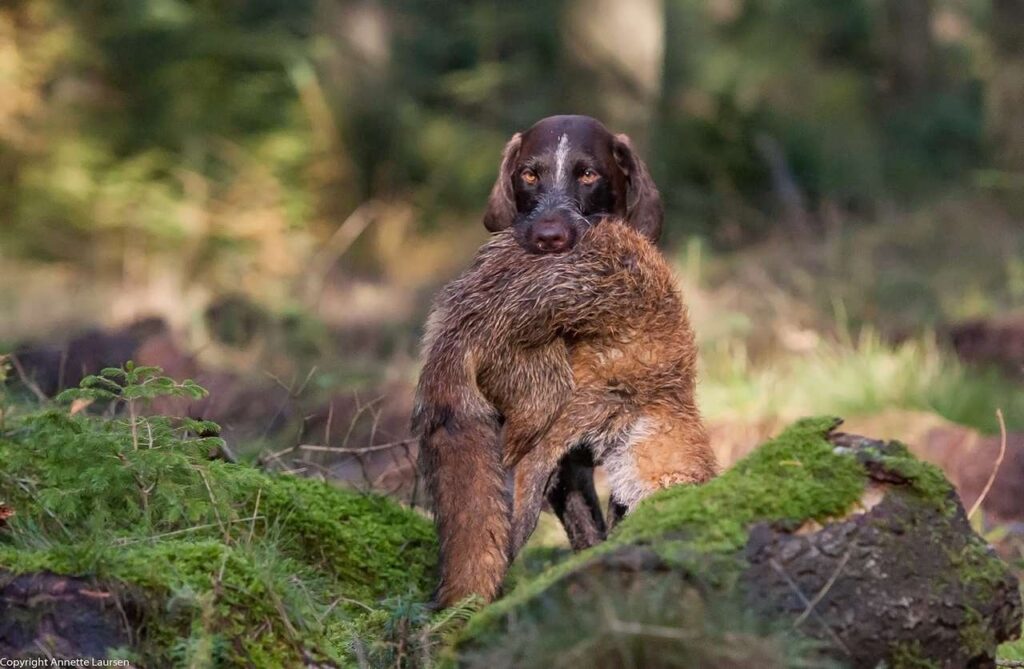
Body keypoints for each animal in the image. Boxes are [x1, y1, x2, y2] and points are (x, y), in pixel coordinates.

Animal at [411, 218, 716, 606]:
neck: (657, 399)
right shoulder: (575, 419)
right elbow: (526, 509)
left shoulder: (581, 463)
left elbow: (589, 522)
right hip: (545, 398)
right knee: (505, 463)